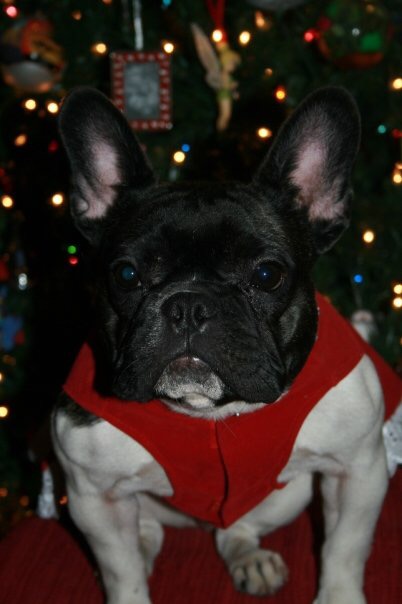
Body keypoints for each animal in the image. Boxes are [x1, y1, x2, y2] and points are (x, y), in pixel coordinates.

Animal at [52, 86, 401, 604]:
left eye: (267, 274)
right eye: (127, 274)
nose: (188, 304)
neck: (210, 417)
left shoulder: (357, 470)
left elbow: (344, 549)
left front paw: (338, 595)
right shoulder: (92, 495)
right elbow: (121, 571)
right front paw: (126, 579)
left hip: (288, 495)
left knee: (234, 529)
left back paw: (249, 558)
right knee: (145, 532)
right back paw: (145, 545)